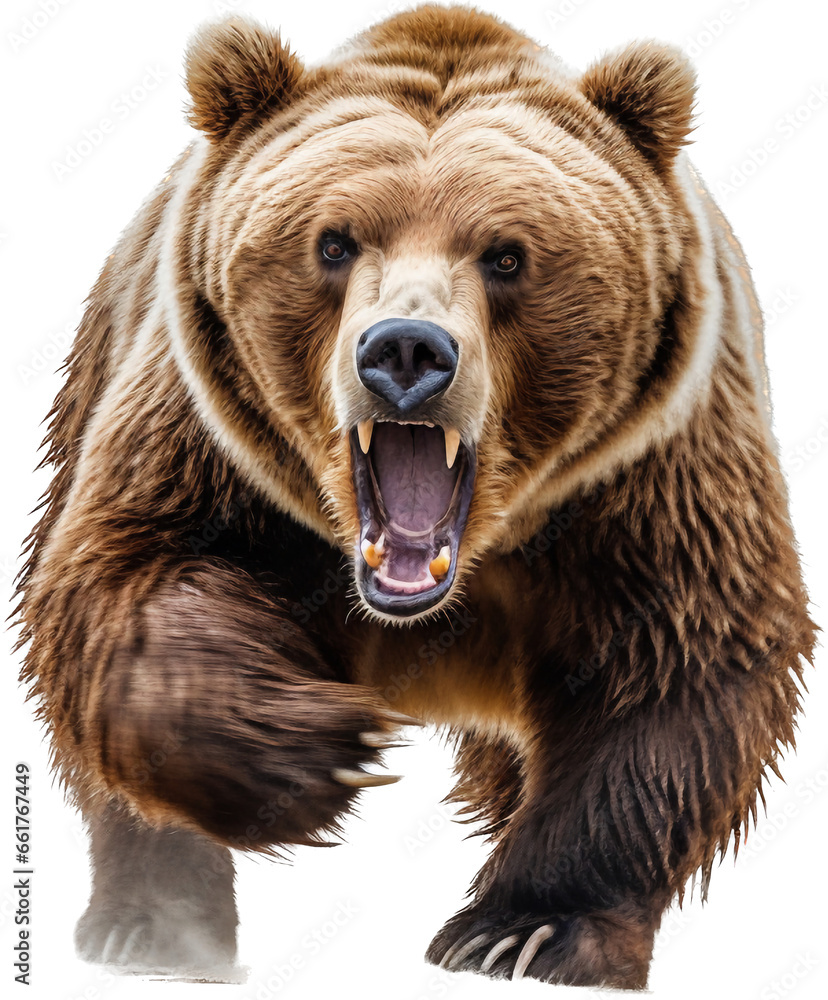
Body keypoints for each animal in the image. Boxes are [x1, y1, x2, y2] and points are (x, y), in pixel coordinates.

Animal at [17, 3, 816, 990]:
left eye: (507, 255)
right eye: (333, 241)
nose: (405, 350)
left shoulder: (653, 474)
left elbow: (678, 654)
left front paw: (527, 931)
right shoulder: (206, 444)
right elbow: (128, 585)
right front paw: (327, 748)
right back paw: (153, 926)